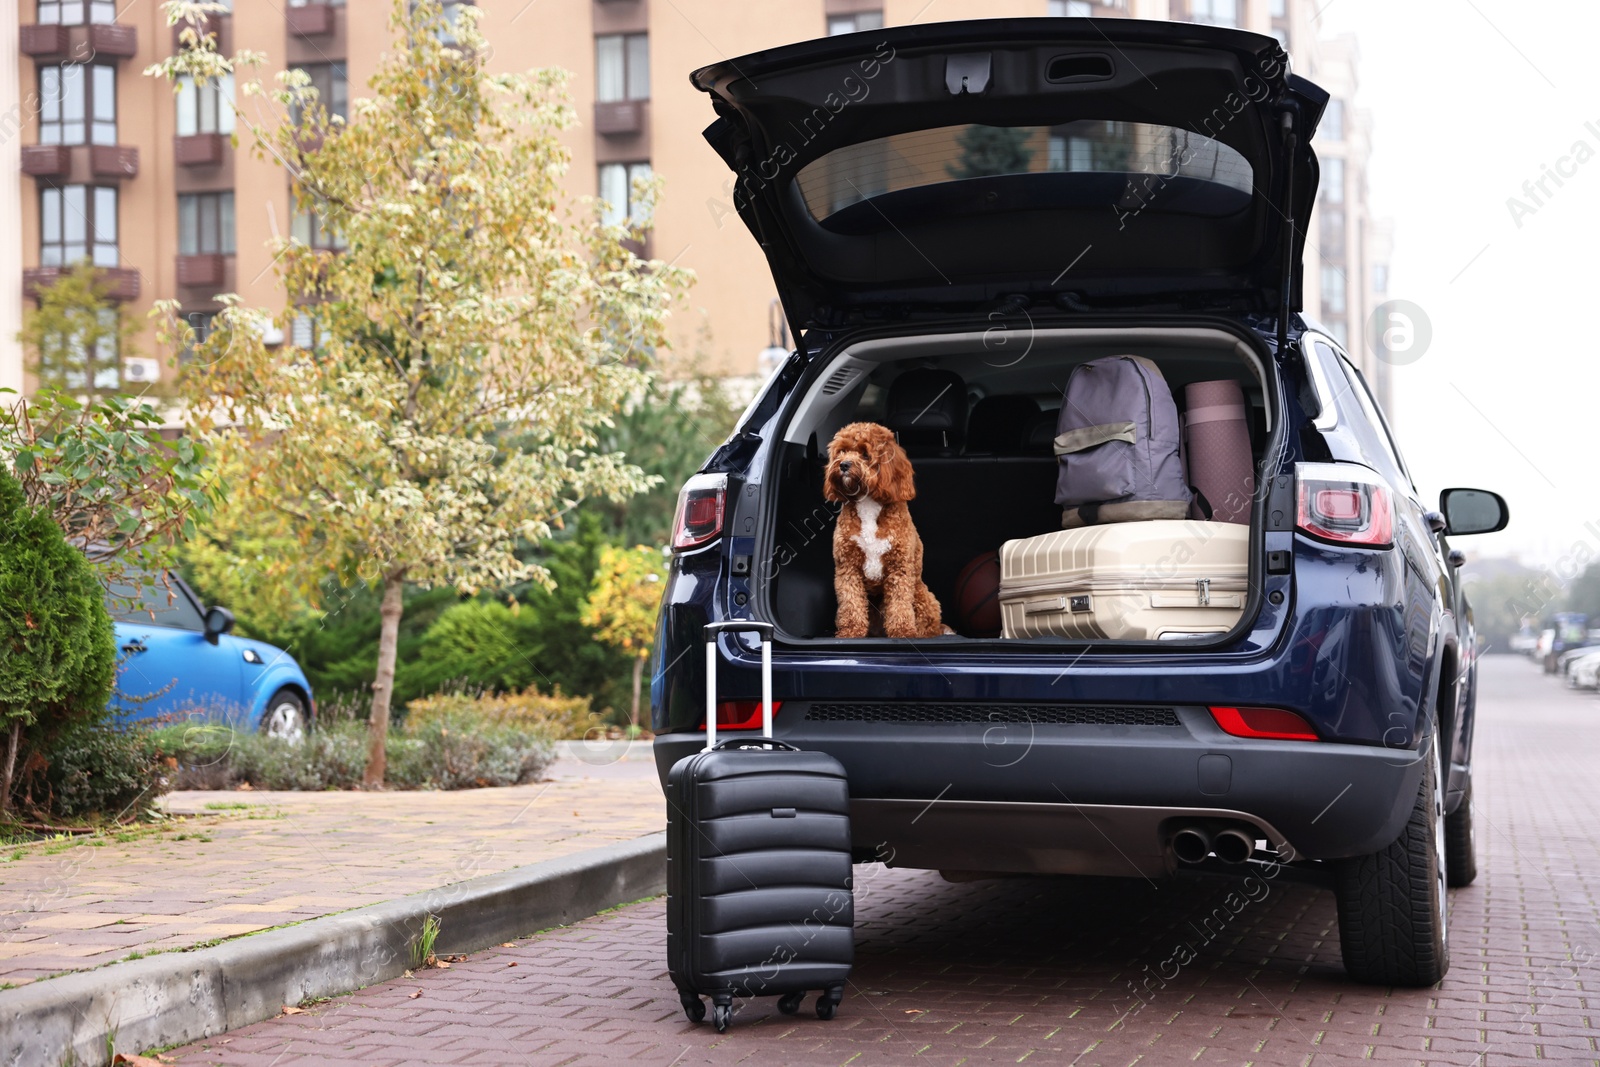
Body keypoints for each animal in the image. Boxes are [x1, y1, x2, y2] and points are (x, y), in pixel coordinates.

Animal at [832, 422, 940, 643]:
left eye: (865, 454)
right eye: (842, 451)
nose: (844, 464)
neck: (868, 502)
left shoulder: (899, 568)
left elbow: (899, 603)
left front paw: (903, 631)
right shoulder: (847, 567)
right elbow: (851, 601)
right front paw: (851, 631)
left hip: (922, 596)